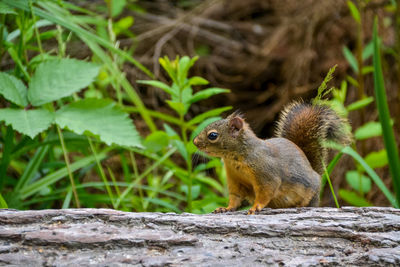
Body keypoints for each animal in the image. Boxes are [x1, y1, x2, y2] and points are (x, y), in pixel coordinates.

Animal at [192, 101, 352, 216]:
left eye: (213, 135)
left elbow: (266, 192)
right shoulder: (235, 180)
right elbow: (235, 198)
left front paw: (255, 207)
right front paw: (225, 208)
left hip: (311, 191)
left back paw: (300, 205)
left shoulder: (266, 173)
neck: (234, 158)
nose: (194, 142)